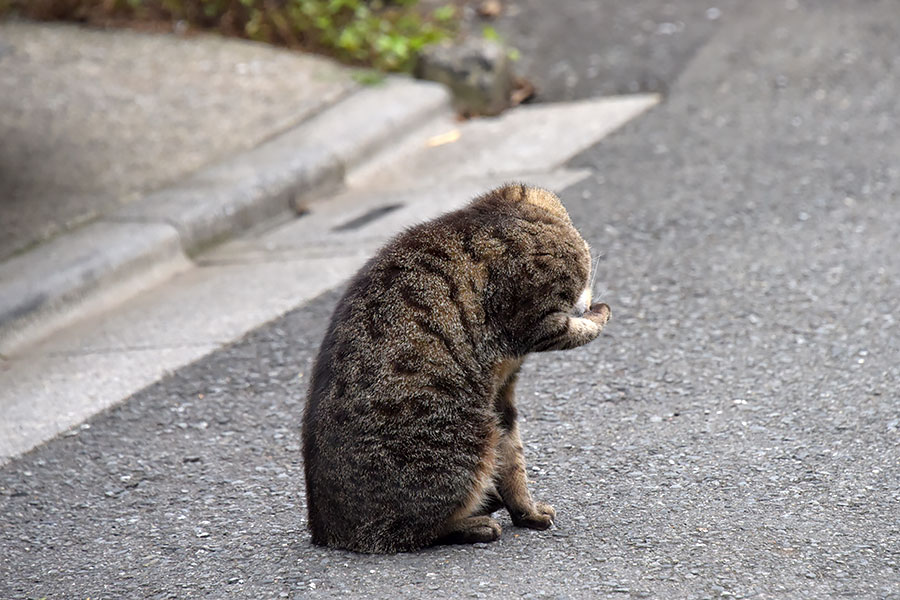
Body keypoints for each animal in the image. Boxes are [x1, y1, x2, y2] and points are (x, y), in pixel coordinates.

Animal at [302, 182, 612, 552]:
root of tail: (326, 530)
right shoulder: (535, 320)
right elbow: (576, 328)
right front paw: (597, 312)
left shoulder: (502, 394)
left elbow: (513, 461)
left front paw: (527, 510)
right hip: (467, 438)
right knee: (411, 530)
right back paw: (476, 523)